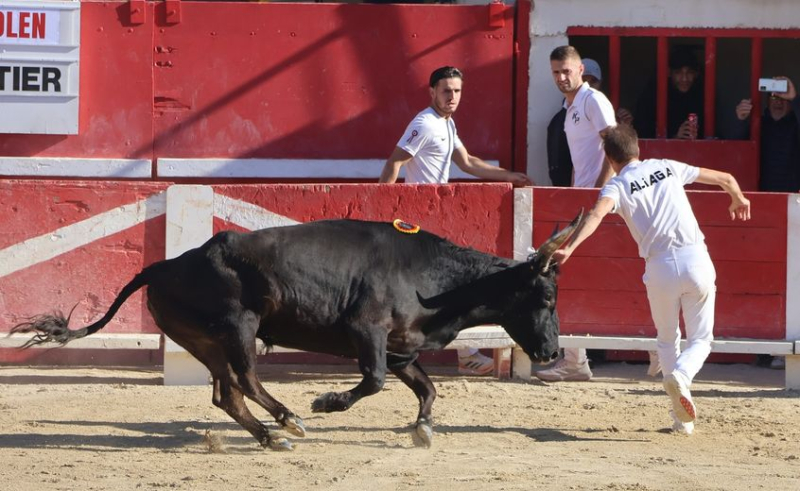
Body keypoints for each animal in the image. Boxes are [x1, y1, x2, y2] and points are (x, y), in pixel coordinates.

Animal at [10, 213, 580, 452]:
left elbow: (427, 387)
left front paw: (422, 429)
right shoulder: (368, 332)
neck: (433, 283)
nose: (552, 350)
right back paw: (289, 421)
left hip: (204, 341)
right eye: (547, 299)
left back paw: (271, 436)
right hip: (239, 328)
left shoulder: (402, 348)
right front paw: (326, 403)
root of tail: (166, 264)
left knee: (227, 393)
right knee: (245, 381)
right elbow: (372, 381)